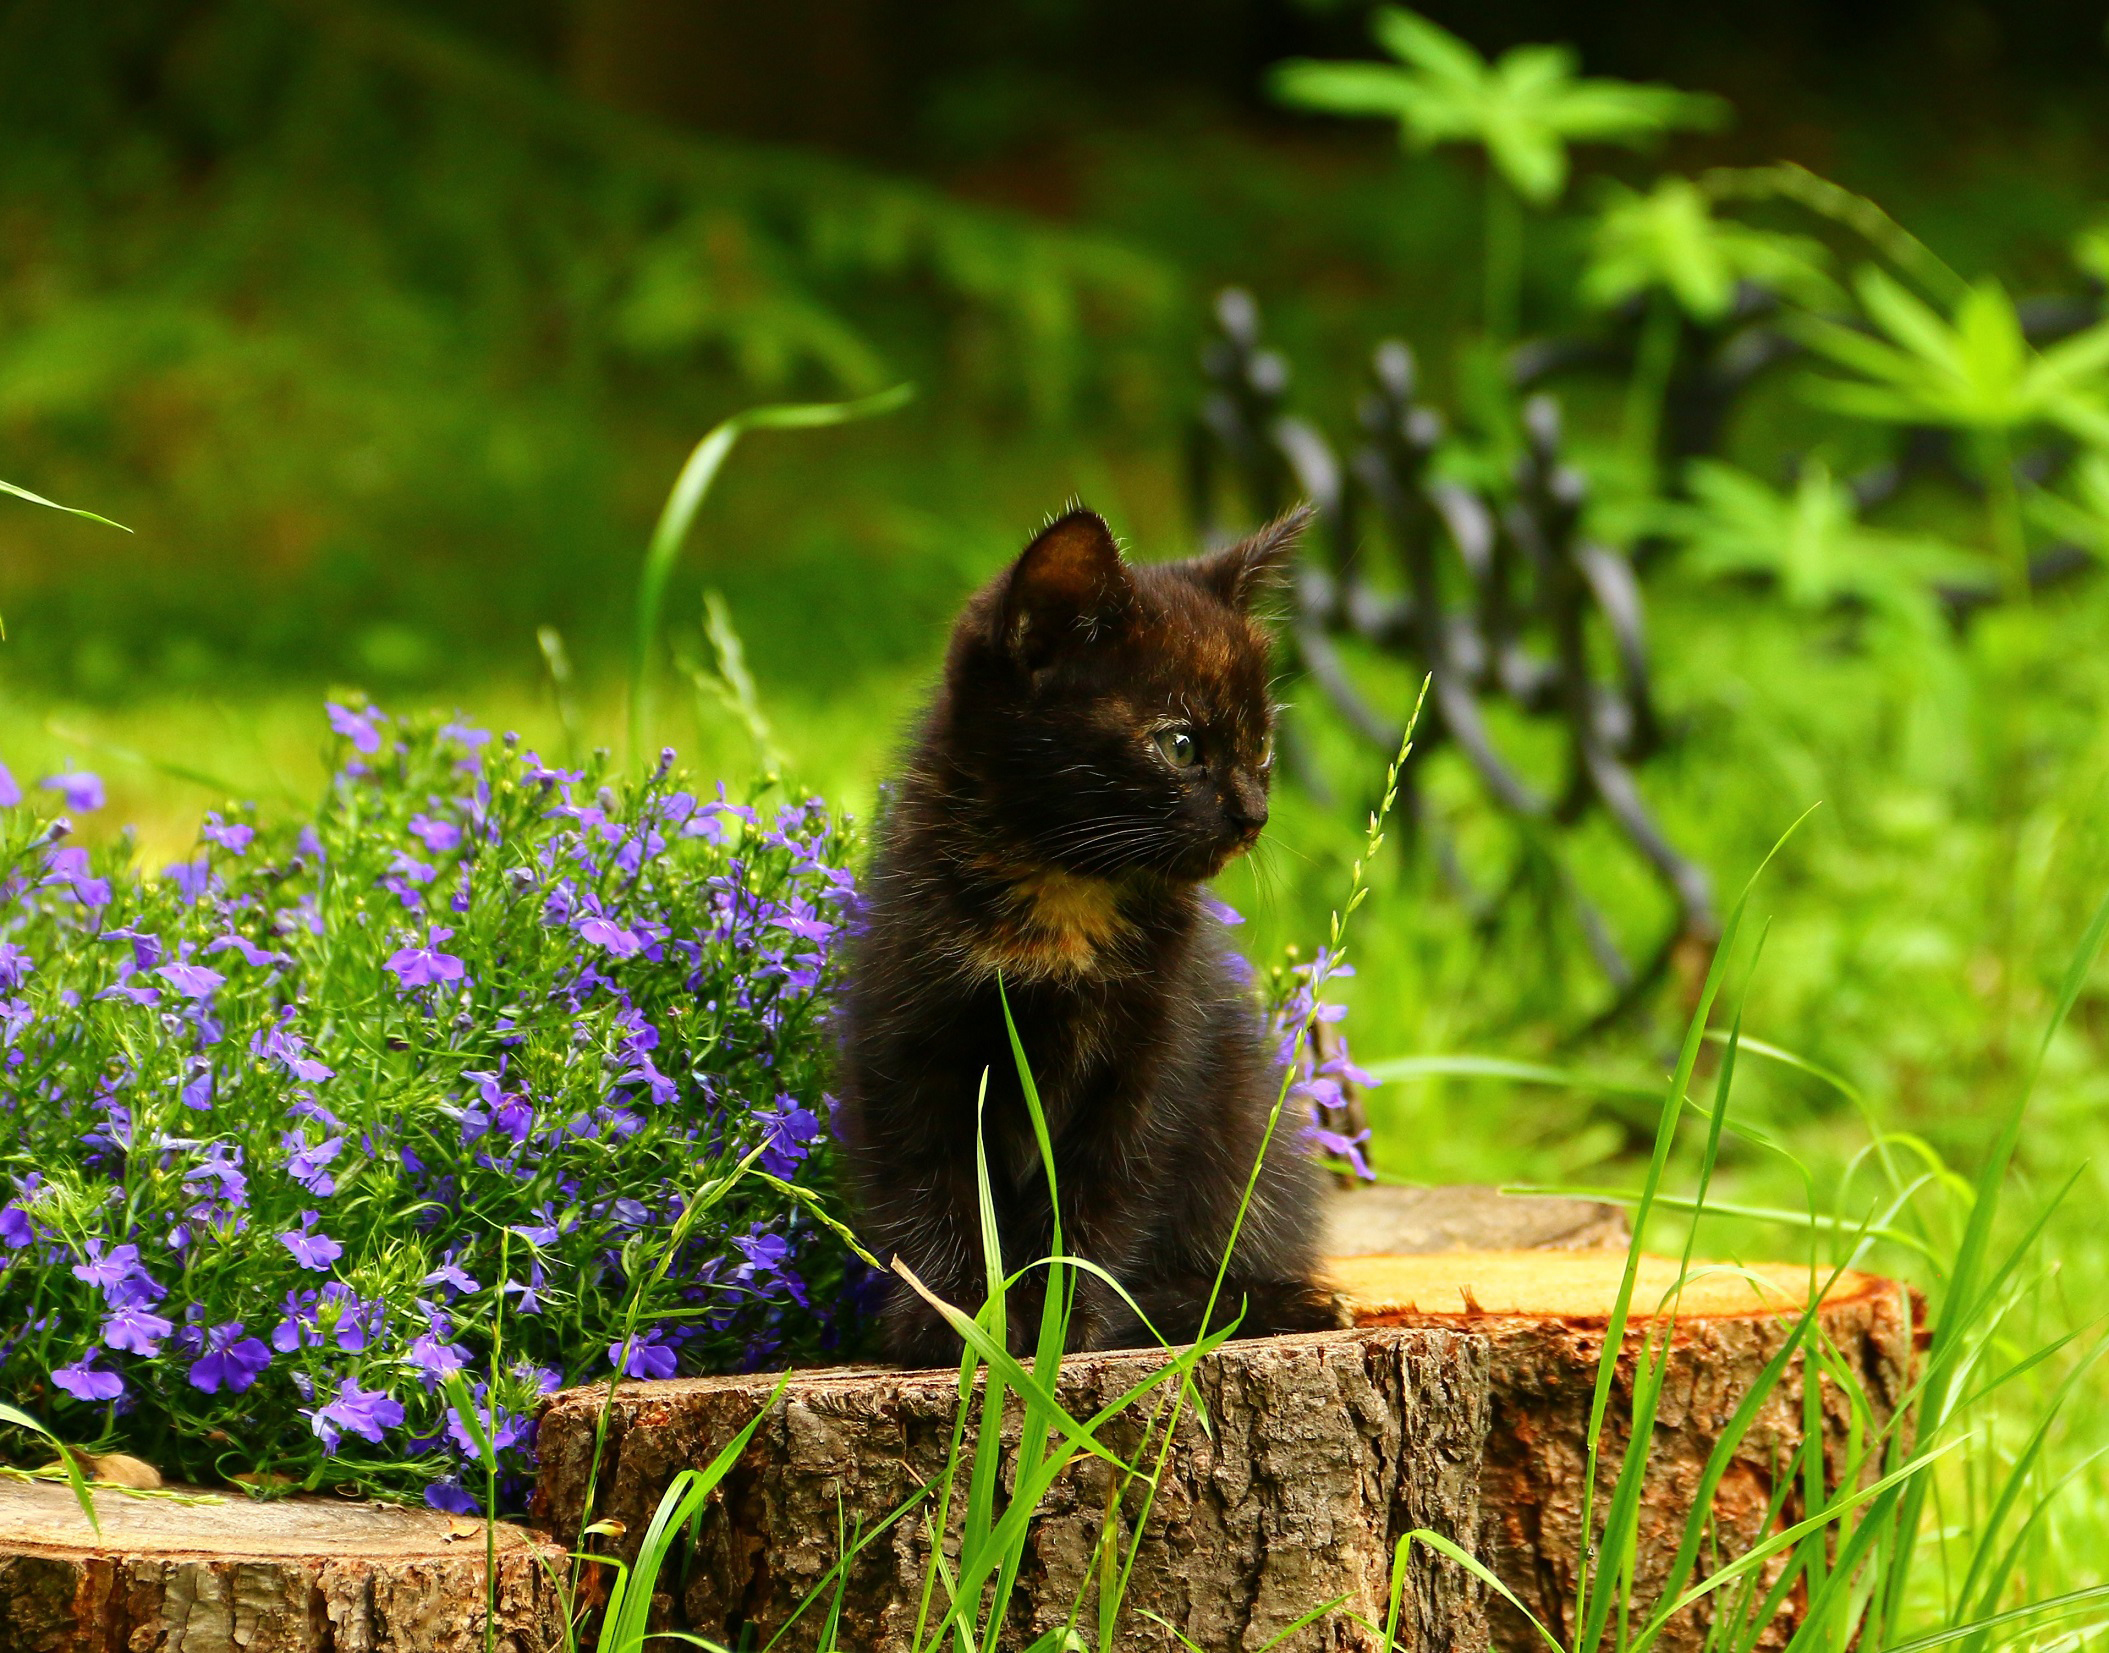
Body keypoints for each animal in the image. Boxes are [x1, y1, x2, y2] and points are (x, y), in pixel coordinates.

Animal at [835, 503, 1341, 1366]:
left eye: (1262, 745)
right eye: (1179, 745)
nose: (1254, 814)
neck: (1065, 893)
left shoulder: (1154, 1054)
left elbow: (1105, 1186)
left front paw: (1057, 1321)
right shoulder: (909, 1033)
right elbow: (930, 1178)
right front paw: (954, 1319)